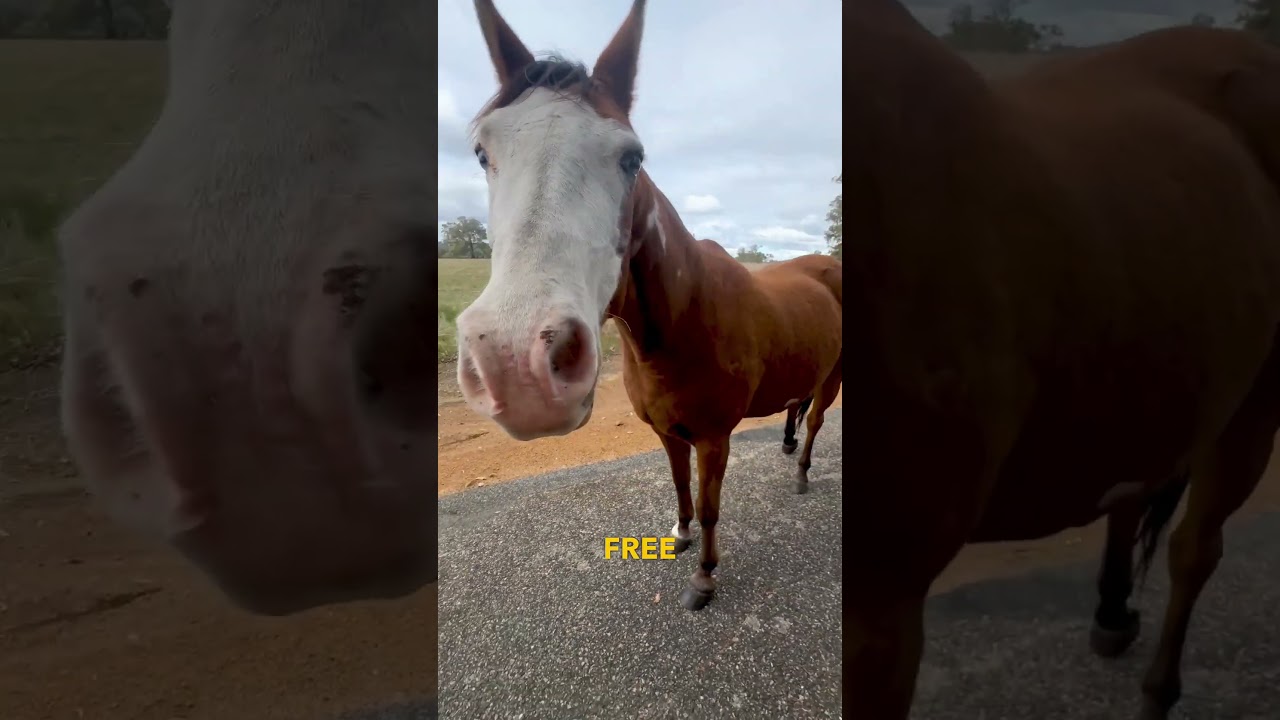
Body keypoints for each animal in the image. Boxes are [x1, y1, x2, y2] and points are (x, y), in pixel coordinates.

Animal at [454, 0, 843, 612]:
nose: (516, 367)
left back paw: (802, 473)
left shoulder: (714, 439)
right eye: (482, 152)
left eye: (631, 158)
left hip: (834, 379)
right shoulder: (666, 432)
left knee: (817, 422)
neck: (685, 326)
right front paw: (679, 537)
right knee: (797, 409)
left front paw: (704, 577)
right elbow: (681, 488)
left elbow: (709, 507)